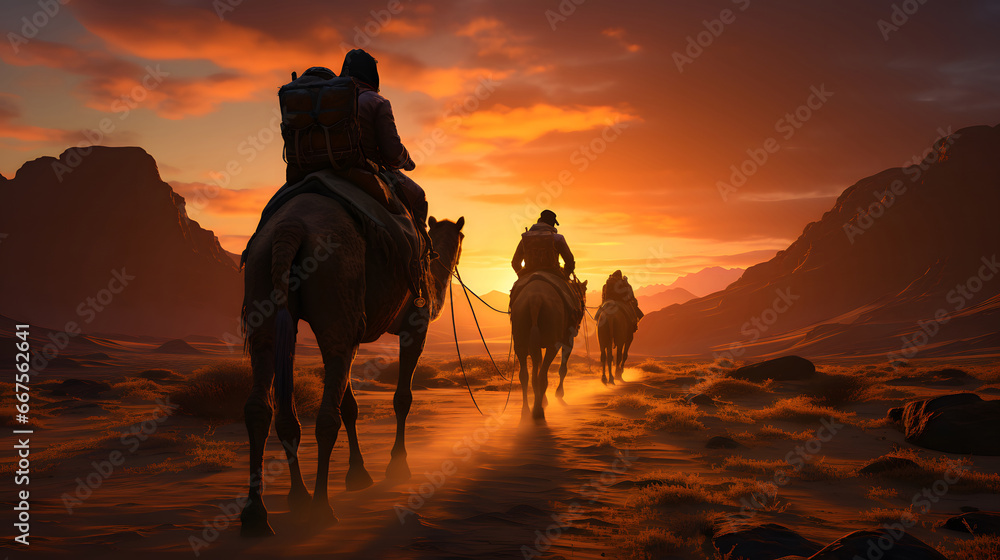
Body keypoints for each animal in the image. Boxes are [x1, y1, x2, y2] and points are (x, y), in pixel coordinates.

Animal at [240, 194, 462, 540]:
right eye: (460, 238)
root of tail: (289, 229)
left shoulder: (346, 335)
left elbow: (349, 405)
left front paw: (357, 473)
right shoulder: (416, 324)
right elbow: (401, 398)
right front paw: (397, 465)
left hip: (266, 296)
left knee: (264, 408)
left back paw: (267, 509)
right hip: (337, 289)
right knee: (324, 418)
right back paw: (320, 509)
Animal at [508, 274, 584, 422]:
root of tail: (535, 300)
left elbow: (536, 365)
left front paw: (542, 398)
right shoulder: (568, 340)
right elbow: (562, 368)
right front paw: (559, 393)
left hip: (520, 340)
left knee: (524, 375)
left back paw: (526, 410)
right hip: (552, 343)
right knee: (543, 375)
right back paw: (538, 411)